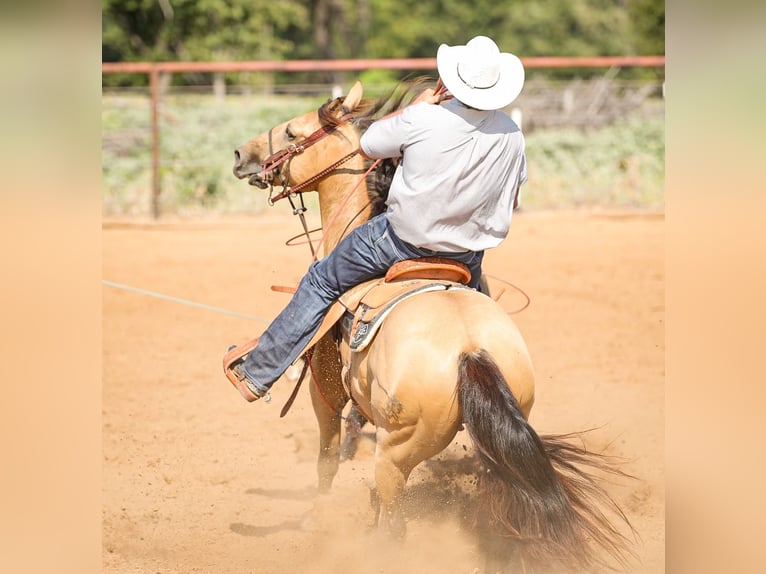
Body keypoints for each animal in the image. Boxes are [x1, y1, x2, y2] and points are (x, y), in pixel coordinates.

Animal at [231, 80, 636, 572]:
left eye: (292, 132)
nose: (242, 154)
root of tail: (471, 350)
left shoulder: (323, 389)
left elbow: (326, 459)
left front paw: (314, 518)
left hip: (397, 452)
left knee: (394, 523)